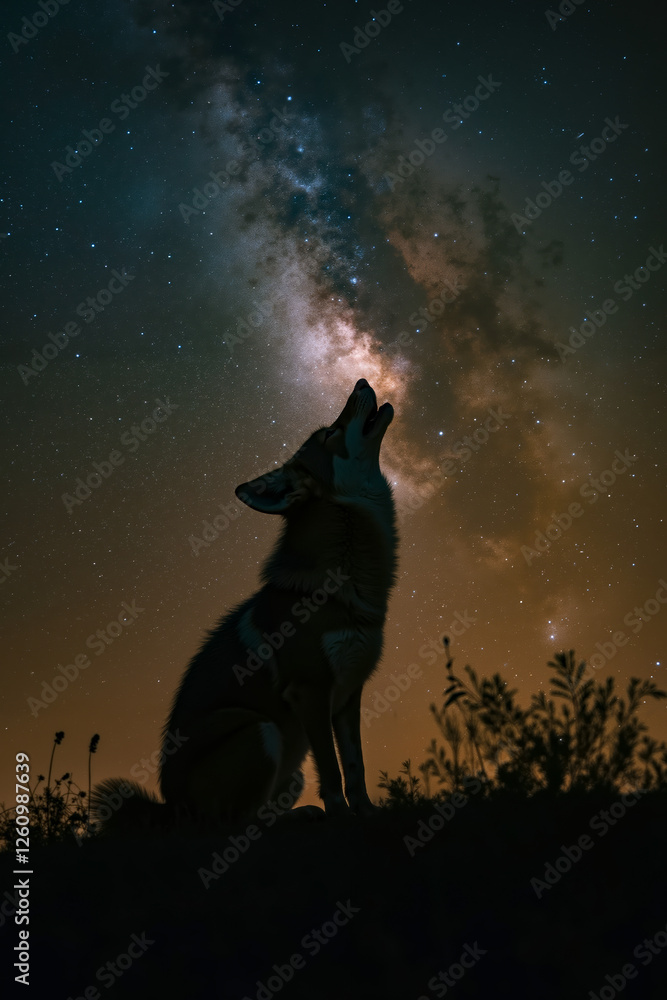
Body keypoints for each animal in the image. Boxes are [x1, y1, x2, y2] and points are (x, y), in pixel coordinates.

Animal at [94, 378, 397, 828]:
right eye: (330, 433)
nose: (360, 381)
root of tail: (170, 807)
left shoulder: (347, 697)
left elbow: (355, 767)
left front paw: (367, 814)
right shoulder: (311, 692)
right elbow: (332, 771)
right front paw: (341, 816)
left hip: (289, 771)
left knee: (258, 818)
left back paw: (299, 816)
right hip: (262, 730)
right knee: (234, 825)